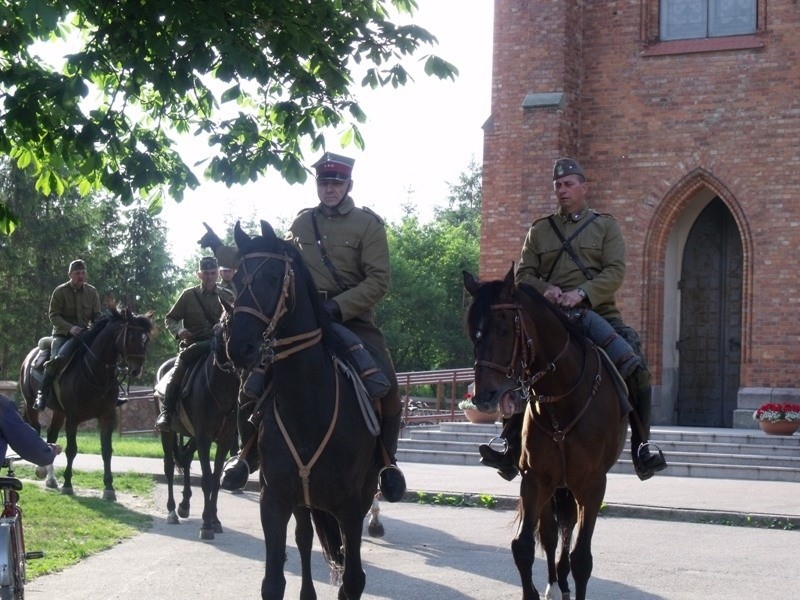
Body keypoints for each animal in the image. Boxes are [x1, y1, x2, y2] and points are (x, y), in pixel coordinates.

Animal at [19, 308, 154, 500]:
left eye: (146, 339)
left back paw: (51, 480)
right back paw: (41, 470)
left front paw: (109, 488)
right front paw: (68, 484)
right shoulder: (72, 418)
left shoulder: (107, 417)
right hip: (31, 403)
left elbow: (106, 451)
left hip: (59, 412)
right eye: (132, 337)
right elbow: (71, 450)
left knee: (51, 435)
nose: (136, 370)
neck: (95, 372)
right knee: (36, 430)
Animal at [154, 324, 238, 544]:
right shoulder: (204, 439)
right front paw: (206, 524)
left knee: (185, 458)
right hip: (168, 432)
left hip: (190, 435)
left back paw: (184, 504)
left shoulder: (224, 440)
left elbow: (216, 479)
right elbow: (207, 480)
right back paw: (172, 511)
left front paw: (215, 520)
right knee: (169, 466)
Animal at [222, 220, 378, 600]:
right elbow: (273, 582)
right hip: (303, 502)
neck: (308, 406)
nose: (239, 347)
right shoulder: (274, 501)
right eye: (235, 280)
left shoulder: (351, 507)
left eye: (272, 278)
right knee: (305, 539)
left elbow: (353, 581)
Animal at [462, 268, 632, 600]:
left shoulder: (593, 484)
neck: (562, 399)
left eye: (504, 329)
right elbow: (524, 546)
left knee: (568, 534)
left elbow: (582, 558)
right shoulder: (535, 478)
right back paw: (555, 583)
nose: (484, 396)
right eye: (473, 333)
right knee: (553, 534)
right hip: (554, 485)